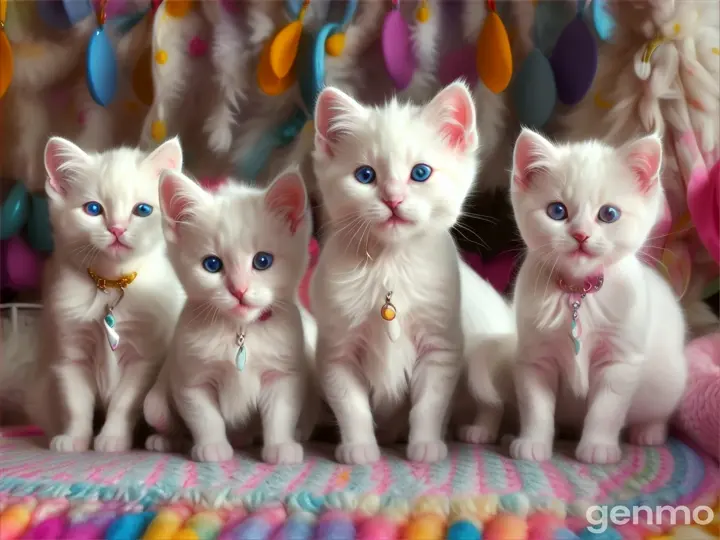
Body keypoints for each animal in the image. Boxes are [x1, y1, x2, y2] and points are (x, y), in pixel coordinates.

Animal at [26, 135, 186, 452]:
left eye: (143, 210)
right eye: (93, 209)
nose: (117, 229)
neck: (111, 284)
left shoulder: (144, 357)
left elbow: (125, 401)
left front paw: (113, 438)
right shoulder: (70, 353)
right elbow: (76, 403)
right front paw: (74, 438)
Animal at [142, 169, 316, 464]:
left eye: (262, 261)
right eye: (212, 264)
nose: (239, 290)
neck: (240, 330)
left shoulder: (283, 373)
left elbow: (280, 413)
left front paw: (280, 445)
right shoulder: (190, 378)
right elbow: (204, 416)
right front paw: (211, 446)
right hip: (154, 403)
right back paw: (167, 441)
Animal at [310, 82, 516, 466]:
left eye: (420, 173)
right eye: (365, 175)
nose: (393, 199)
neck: (389, 265)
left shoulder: (441, 347)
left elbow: (429, 405)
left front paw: (425, 445)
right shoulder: (336, 351)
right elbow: (352, 406)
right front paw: (360, 447)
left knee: (493, 400)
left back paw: (478, 430)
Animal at [510, 130, 688, 464]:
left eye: (609, 214)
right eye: (557, 211)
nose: (580, 235)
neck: (577, 293)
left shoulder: (620, 359)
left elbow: (606, 410)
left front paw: (598, 448)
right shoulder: (534, 358)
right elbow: (535, 405)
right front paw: (533, 443)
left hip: (670, 379)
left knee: (659, 411)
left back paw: (649, 432)